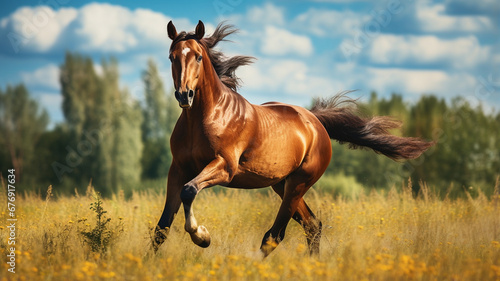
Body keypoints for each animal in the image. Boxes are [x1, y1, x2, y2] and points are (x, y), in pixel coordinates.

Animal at [153, 20, 434, 258]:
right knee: (312, 225)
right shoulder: (178, 169)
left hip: (299, 184)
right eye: (172, 57)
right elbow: (162, 228)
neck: (207, 116)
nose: (184, 95)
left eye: (199, 57)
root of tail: (315, 121)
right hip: (282, 184)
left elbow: (190, 191)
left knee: (275, 235)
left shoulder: (225, 167)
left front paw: (202, 236)